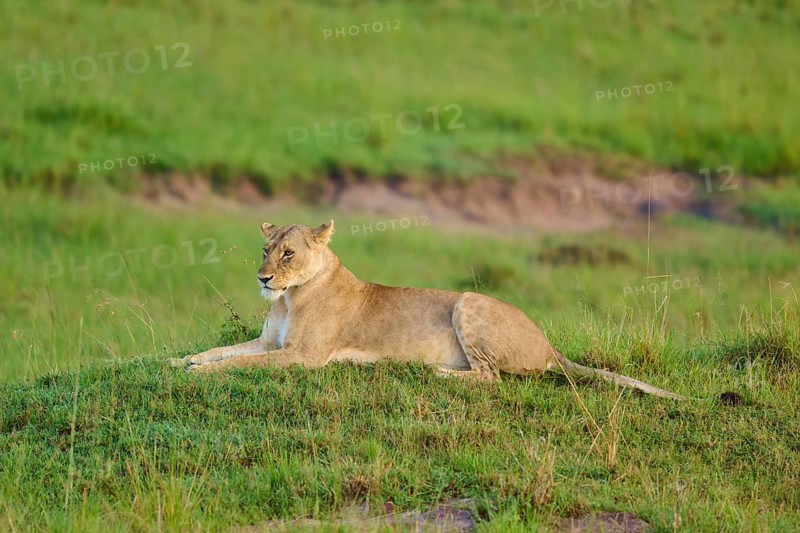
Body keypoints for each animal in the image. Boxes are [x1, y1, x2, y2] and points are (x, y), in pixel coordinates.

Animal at [168, 221, 685, 400]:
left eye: (289, 254)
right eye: (265, 250)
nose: (263, 279)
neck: (289, 296)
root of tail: (548, 344)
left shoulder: (303, 357)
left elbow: (236, 364)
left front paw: (195, 373)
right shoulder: (266, 342)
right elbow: (222, 351)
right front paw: (180, 360)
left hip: (469, 304)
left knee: (491, 378)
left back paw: (433, 372)